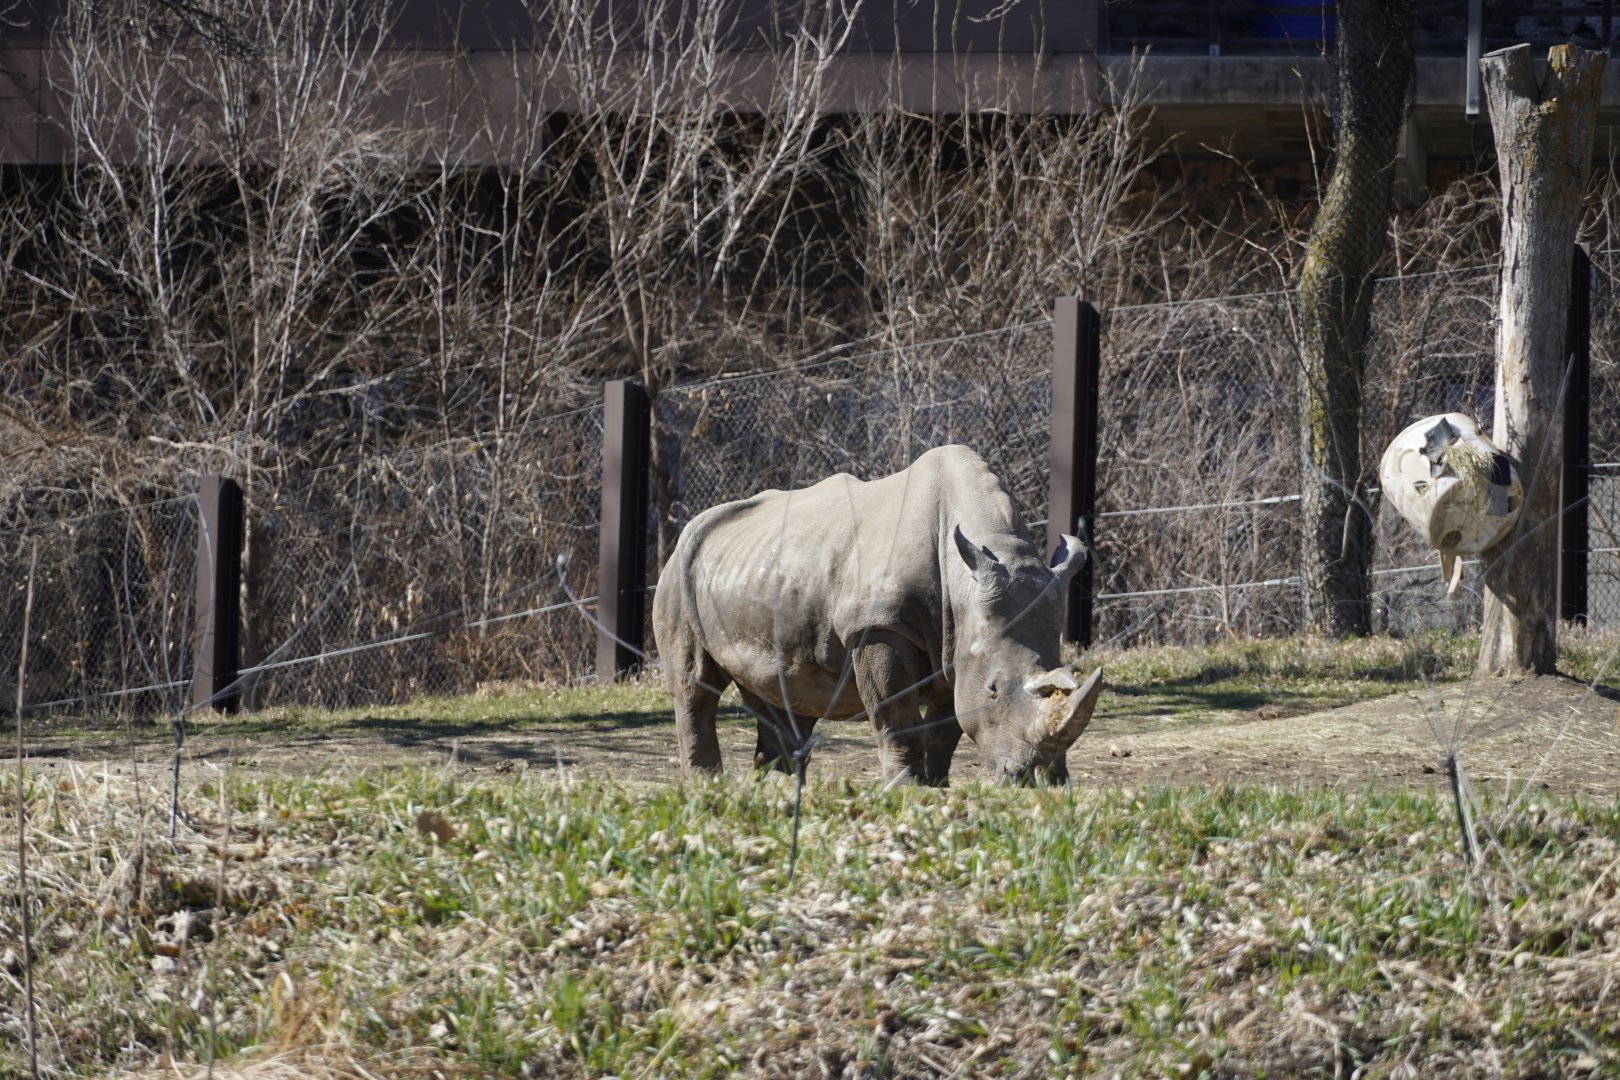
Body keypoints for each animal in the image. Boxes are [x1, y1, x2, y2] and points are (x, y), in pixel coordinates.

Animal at [652, 444, 1103, 785]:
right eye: (993, 689)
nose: (1038, 778)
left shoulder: (954, 642)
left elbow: (945, 725)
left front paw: (937, 785)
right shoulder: (880, 625)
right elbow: (894, 712)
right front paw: (907, 787)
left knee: (778, 689)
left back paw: (775, 787)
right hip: (676, 572)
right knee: (694, 684)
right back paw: (708, 786)